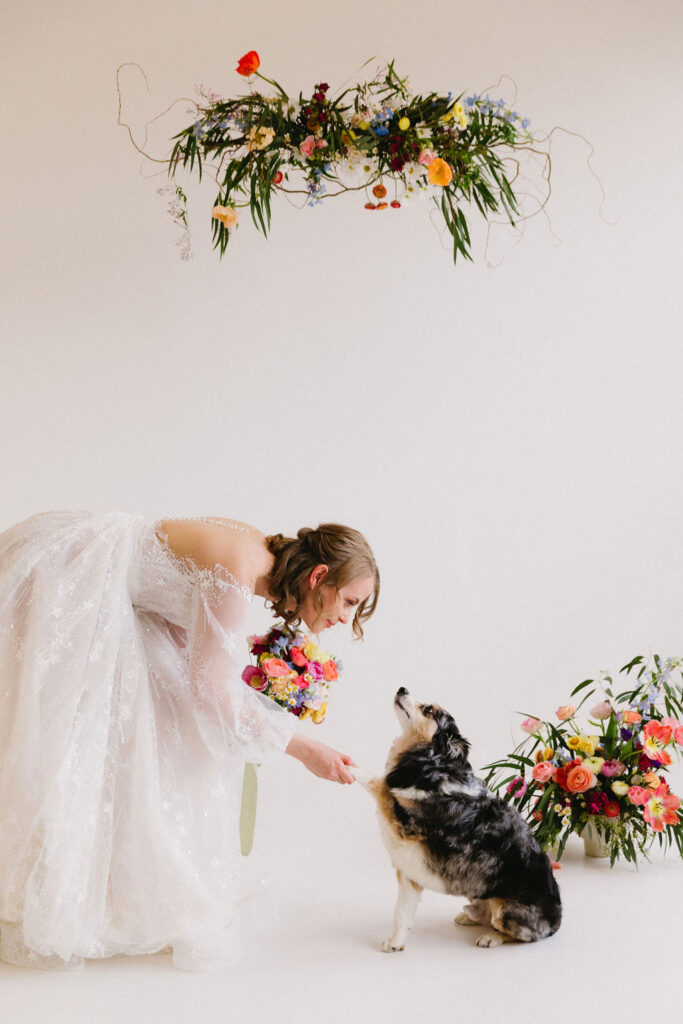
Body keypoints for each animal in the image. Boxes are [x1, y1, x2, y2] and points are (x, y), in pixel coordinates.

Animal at [352, 688, 561, 950]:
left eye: (428, 710)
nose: (402, 688)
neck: (432, 764)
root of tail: (556, 923)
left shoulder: (403, 820)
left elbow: (379, 783)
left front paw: (348, 765)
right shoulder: (409, 871)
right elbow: (402, 912)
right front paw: (396, 942)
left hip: (506, 909)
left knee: (517, 934)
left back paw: (491, 937)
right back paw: (470, 916)